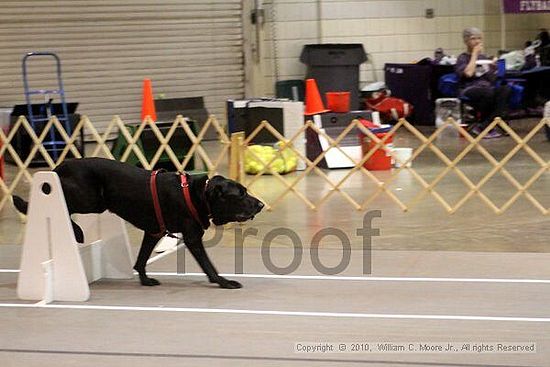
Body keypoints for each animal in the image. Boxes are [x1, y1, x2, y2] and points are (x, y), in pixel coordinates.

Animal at [12, 158, 264, 290]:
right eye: (241, 194)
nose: (261, 204)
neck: (197, 194)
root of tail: (60, 167)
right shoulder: (192, 237)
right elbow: (209, 265)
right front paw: (223, 282)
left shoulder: (153, 232)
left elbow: (141, 258)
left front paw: (144, 279)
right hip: (90, 199)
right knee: (59, 199)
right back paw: (76, 231)